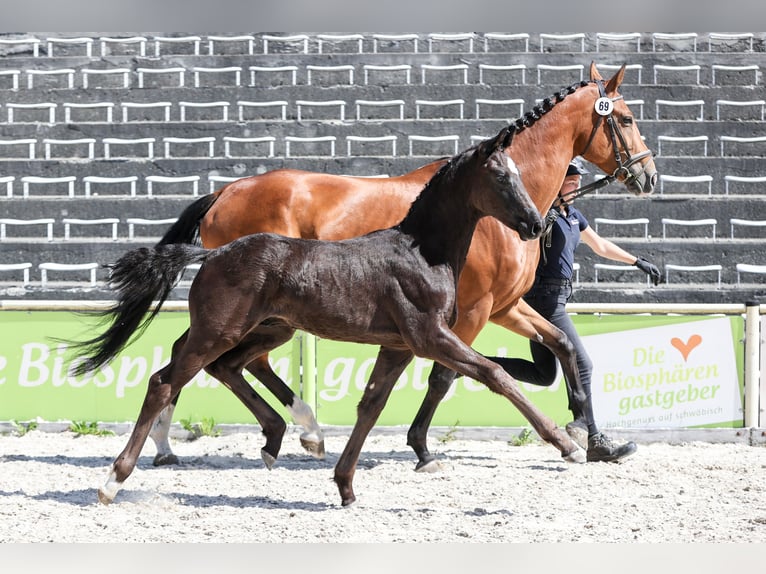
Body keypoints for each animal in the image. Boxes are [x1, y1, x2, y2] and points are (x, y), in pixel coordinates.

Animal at [70, 126, 582, 507]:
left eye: (518, 174)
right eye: (500, 177)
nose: (535, 224)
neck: (421, 251)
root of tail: (211, 252)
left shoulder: (398, 345)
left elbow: (371, 405)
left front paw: (346, 487)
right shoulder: (430, 335)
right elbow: (495, 374)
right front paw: (568, 444)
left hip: (266, 329)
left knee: (226, 368)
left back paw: (279, 438)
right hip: (218, 331)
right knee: (166, 380)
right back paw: (114, 480)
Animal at [147, 62, 657, 470]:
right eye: (627, 119)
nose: (648, 175)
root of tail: (224, 192)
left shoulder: (506, 307)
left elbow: (564, 348)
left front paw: (592, 439)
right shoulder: (474, 310)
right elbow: (447, 376)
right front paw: (423, 448)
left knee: (202, 353)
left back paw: (185, 439)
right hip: (248, 313)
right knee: (225, 358)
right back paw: (293, 430)